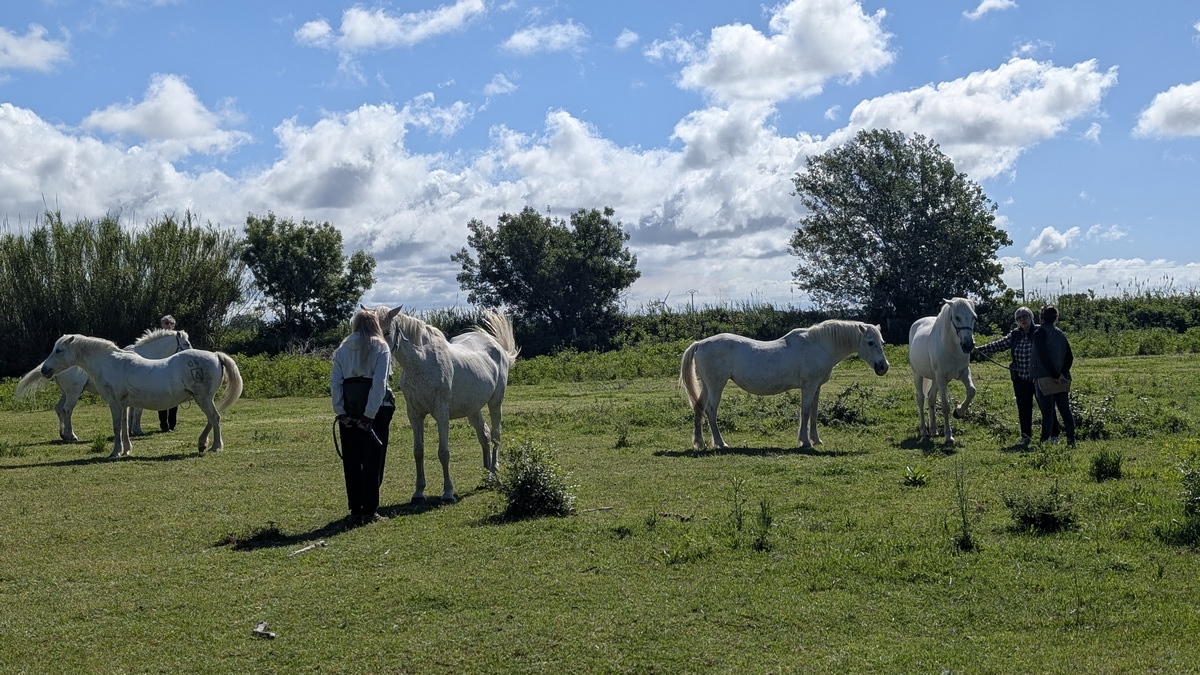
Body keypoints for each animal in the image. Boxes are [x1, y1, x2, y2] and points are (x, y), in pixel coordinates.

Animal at [15, 329, 192, 441]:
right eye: (186, 343)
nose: (192, 350)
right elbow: (138, 412)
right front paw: (137, 431)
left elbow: (132, 412)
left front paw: (131, 430)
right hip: (73, 393)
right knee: (67, 410)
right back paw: (71, 436)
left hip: (66, 393)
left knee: (59, 409)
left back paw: (63, 435)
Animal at [36, 334, 243, 457]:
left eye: (59, 350)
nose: (45, 370)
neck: (109, 363)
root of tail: (215, 355)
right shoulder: (124, 404)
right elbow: (125, 427)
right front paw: (126, 450)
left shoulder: (115, 403)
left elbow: (117, 427)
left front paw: (116, 452)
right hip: (203, 398)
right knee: (212, 419)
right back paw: (202, 444)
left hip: (203, 398)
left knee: (215, 418)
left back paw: (215, 446)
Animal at [374, 306, 520, 503]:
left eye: (387, 332)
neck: (422, 362)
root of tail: (498, 347)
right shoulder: (414, 415)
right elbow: (418, 451)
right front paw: (418, 492)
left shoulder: (441, 414)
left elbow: (443, 453)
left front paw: (448, 492)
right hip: (473, 410)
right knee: (485, 436)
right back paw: (484, 475)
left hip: (495, 403)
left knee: (496, 435)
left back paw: (492, 474)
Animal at [680, 320, 890, 451]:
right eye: (870, 342)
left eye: (882, 341)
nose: (883, 367)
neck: (818, 345)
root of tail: (700, 343)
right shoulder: (809, 386)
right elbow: (805, 412)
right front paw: (805, 442)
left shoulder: (817, 387)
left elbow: (814, 413)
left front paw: (816, 439)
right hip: (717, 386)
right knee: (710, 410)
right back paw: (720, 443)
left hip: (707, 386)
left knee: (699, 408)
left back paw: (700, 443)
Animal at [908, 297, 978, 445]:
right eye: (956, 317)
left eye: (974, 317)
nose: (968, 345)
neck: (952, 347)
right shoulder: (941, 377)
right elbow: (945, 406)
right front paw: (948, 436)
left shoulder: (964, 373)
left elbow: (971, 391)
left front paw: (959, 412)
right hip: (918, 375)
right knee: (921, 399)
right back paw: (923, 430)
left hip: (935, 379)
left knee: (931, 399)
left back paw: (933, 429)